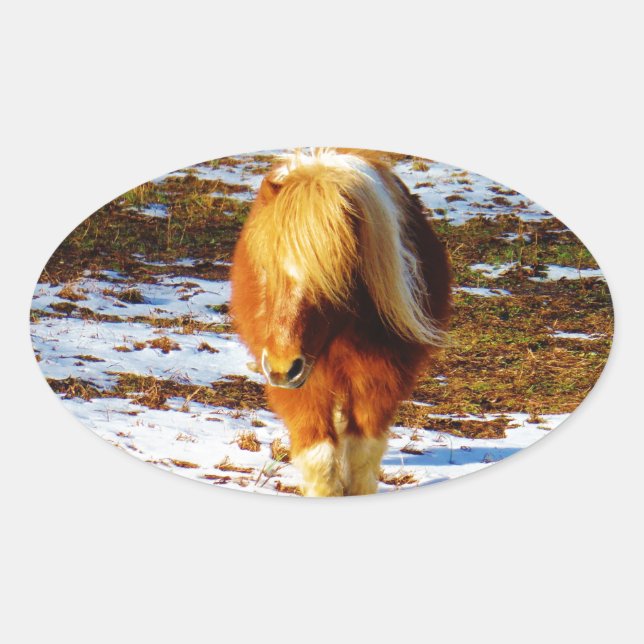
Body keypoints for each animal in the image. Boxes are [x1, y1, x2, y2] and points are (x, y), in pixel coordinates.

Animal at [230, 148, 451, 496]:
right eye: (265, 269)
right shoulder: (303, 387)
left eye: (335, 278)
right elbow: (320, 456)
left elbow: (362, 455)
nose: (281, 368)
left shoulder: (380, 380)